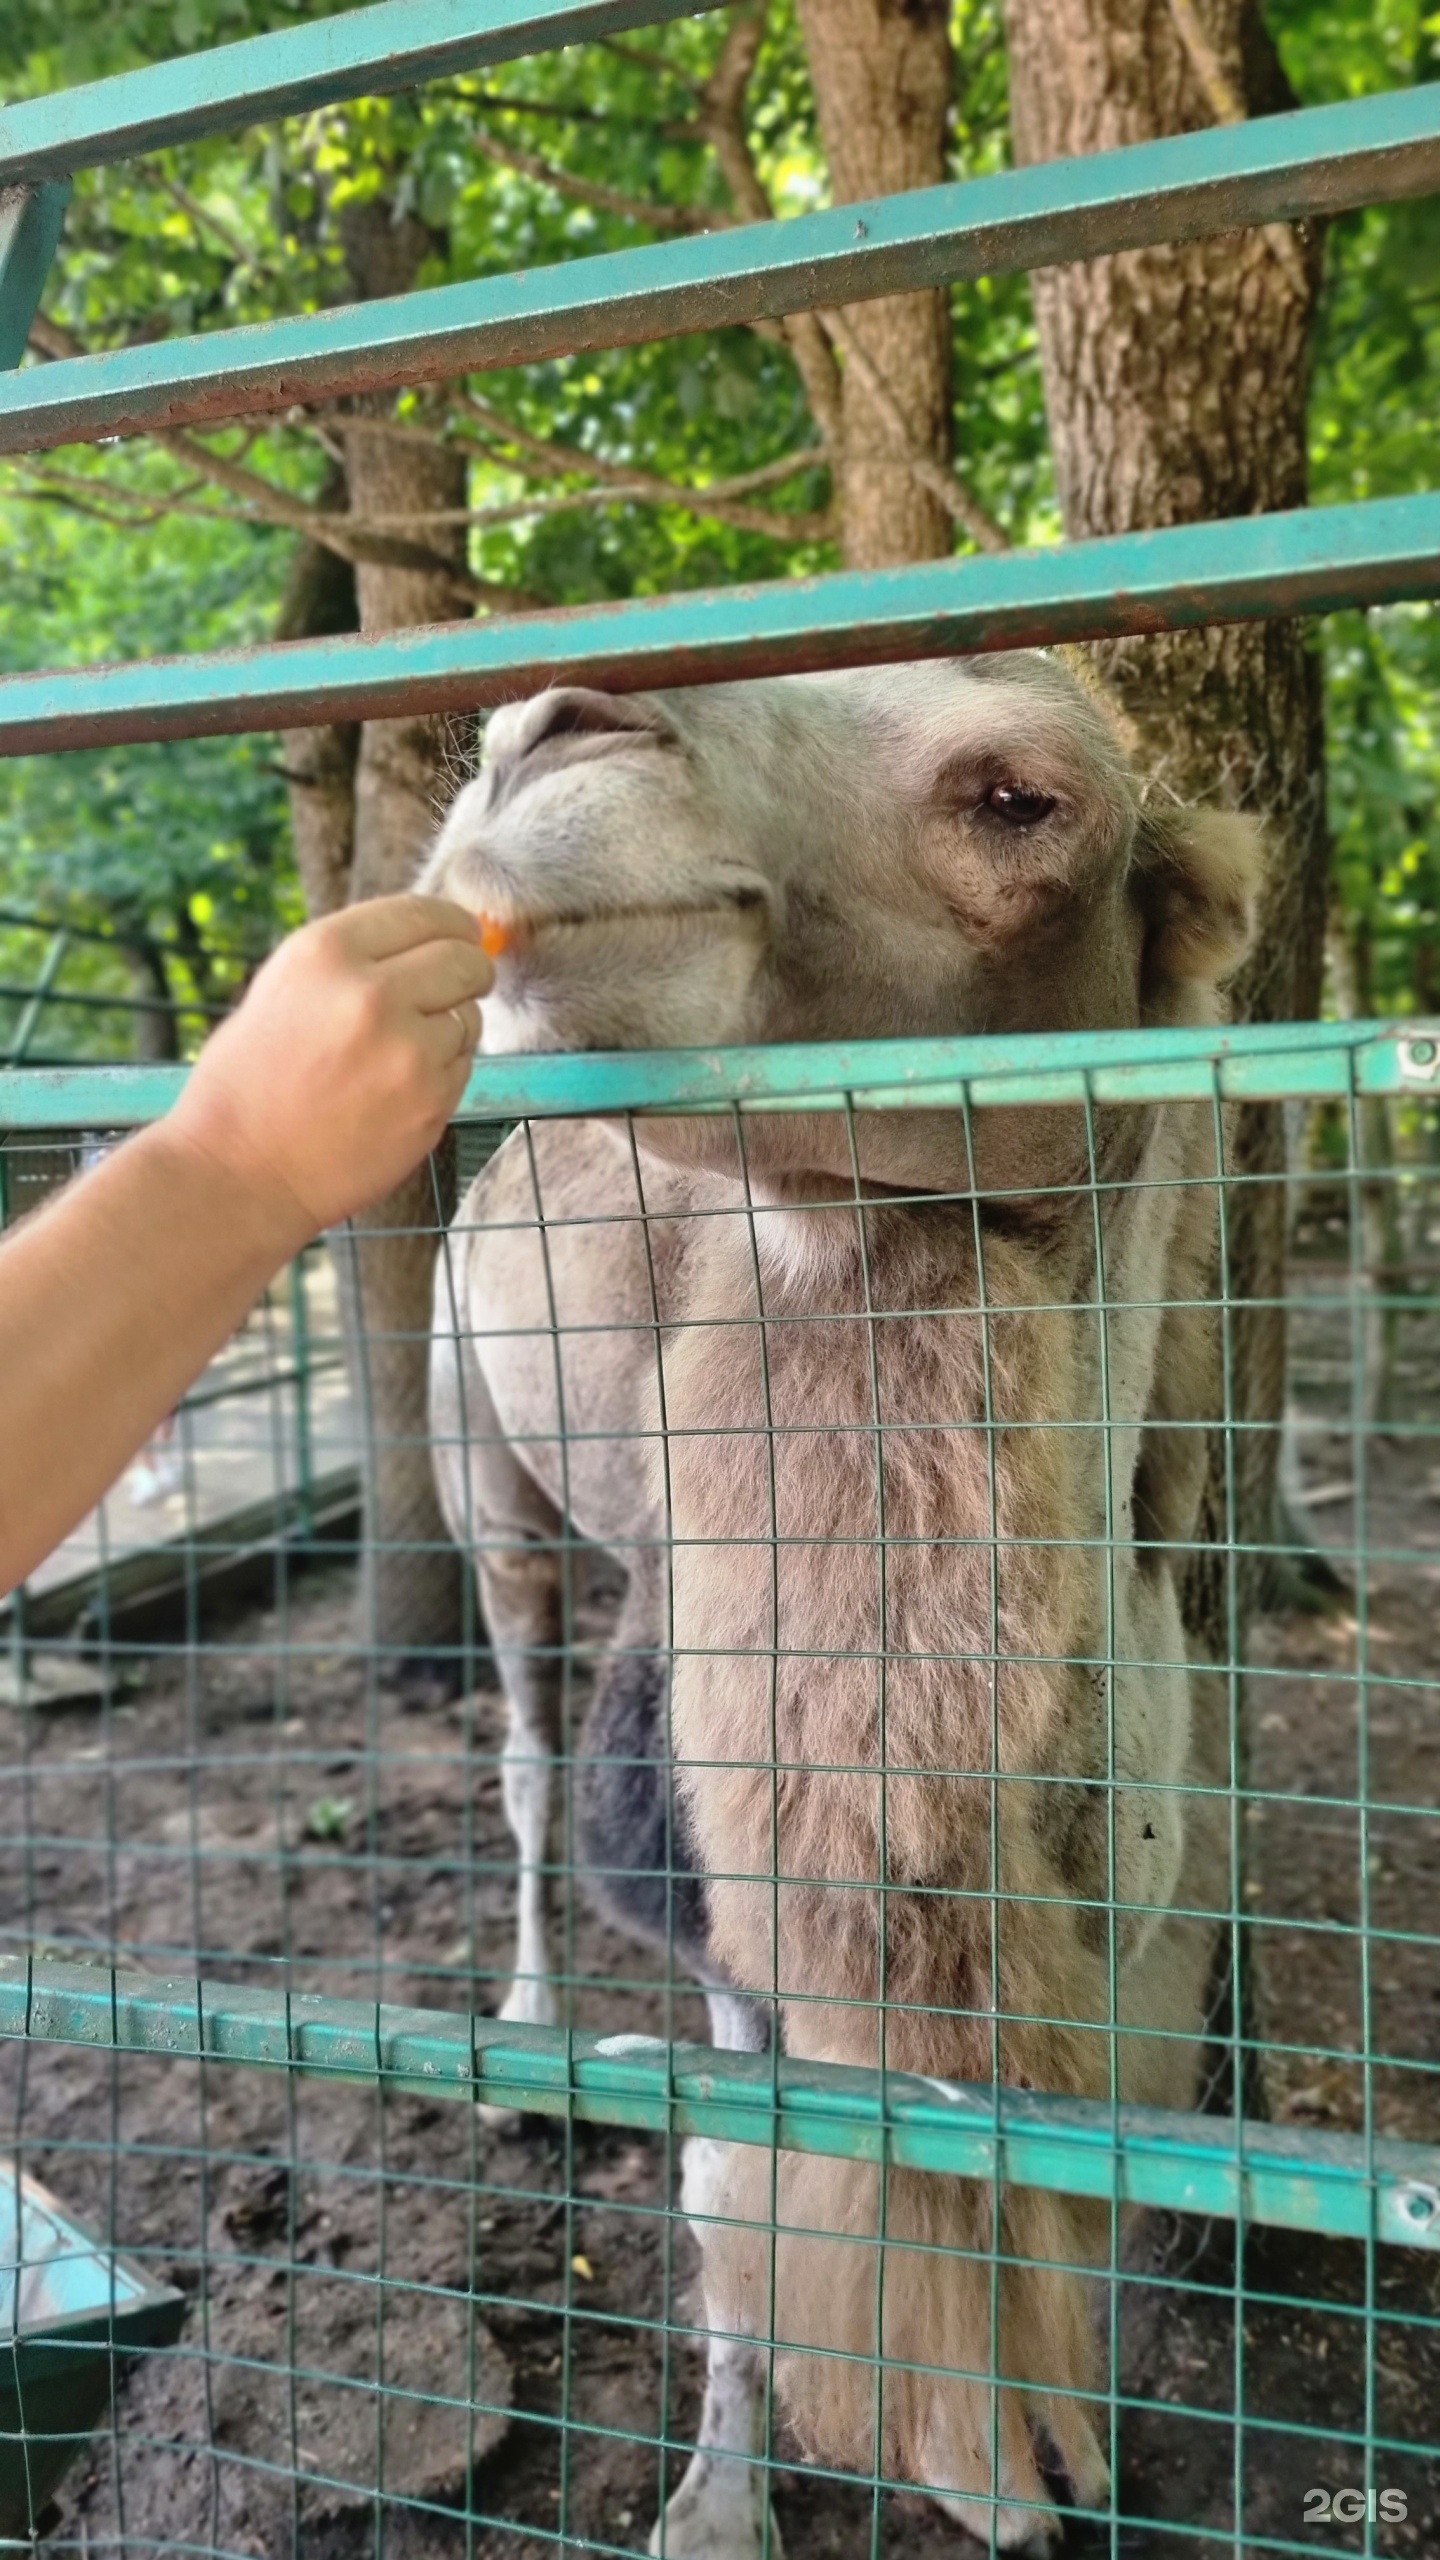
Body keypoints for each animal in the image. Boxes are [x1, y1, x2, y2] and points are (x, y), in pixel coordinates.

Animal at [420, 655, 1259, 2557]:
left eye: (1022, 799)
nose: (547, 741)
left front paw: (1064, 2467)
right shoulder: (721, 1879)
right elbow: (743, 2181)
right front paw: (726, 2499)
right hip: (480, 1461)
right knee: (522, 1748)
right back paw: (525, 2023)